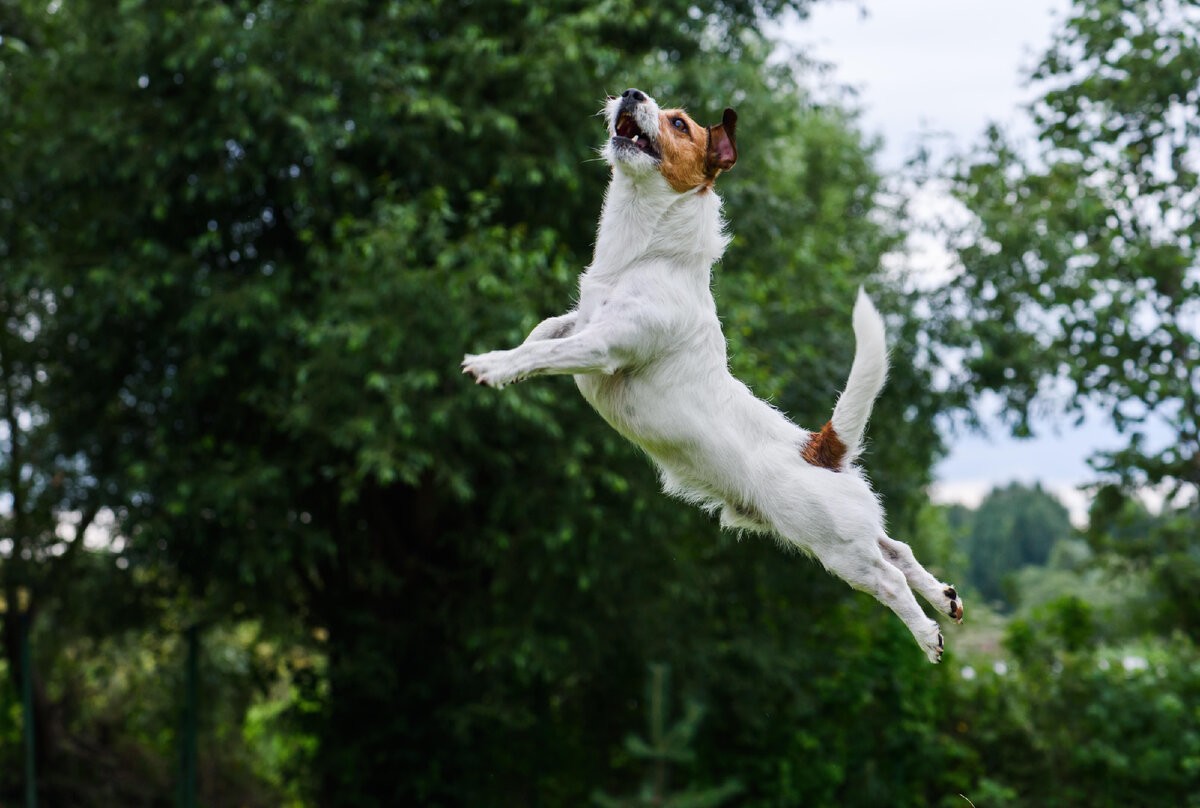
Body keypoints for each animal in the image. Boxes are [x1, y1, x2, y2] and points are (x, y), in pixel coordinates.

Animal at [463, 88, 960, 657]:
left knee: (889, 579)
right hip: (853, 531)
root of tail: (819, 448)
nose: (631, 93)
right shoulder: (578, 321)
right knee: (897, 548)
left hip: (835, 546)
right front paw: (509, 363)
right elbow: (542, 333)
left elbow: (539, 354)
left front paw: (492, 365)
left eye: (679, 124)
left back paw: (926, 633)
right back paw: (943, 597)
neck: (645, 257)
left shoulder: (603, 345)